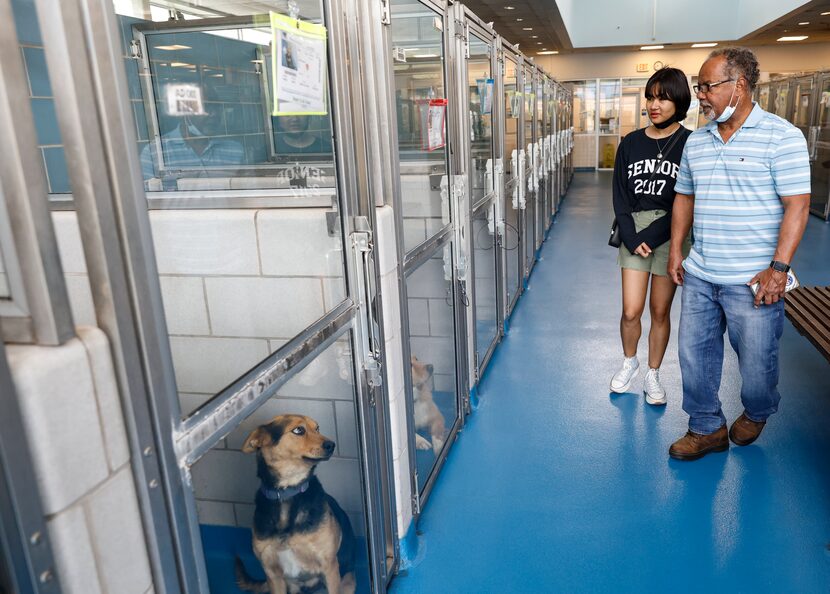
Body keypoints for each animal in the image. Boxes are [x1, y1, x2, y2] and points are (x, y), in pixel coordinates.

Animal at [236, 412, 356, 592]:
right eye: (299, 430)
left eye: (317, 428)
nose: (331, 445)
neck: (286, 492)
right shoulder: (273, 575)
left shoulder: (330, 567)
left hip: (347, 580)